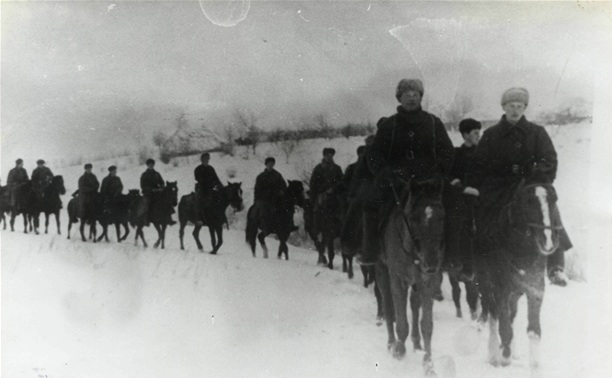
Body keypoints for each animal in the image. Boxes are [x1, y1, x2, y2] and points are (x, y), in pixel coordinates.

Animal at [372, 178, 444, 376]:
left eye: (441, 217)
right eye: (413, 218)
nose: (431, 263)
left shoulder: (426, 282)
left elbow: (427, 325)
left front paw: (429, 364)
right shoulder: (397, 279)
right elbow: (400, 320)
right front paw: (398, 349)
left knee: (413, 304)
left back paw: (416, 343)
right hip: (382, 272)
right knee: (388, 305)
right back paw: (391, 342)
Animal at [476, 180, 568, 376]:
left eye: (554, 200)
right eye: (528, 202)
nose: (548, 241)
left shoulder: (535, 290)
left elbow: (534, 331)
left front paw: (534, 365)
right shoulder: (501, 290)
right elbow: (504, 327)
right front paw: (504, 358)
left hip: (515, 293)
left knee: (510, 316)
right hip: (487, 285)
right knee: (494, 315)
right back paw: (494, 353)